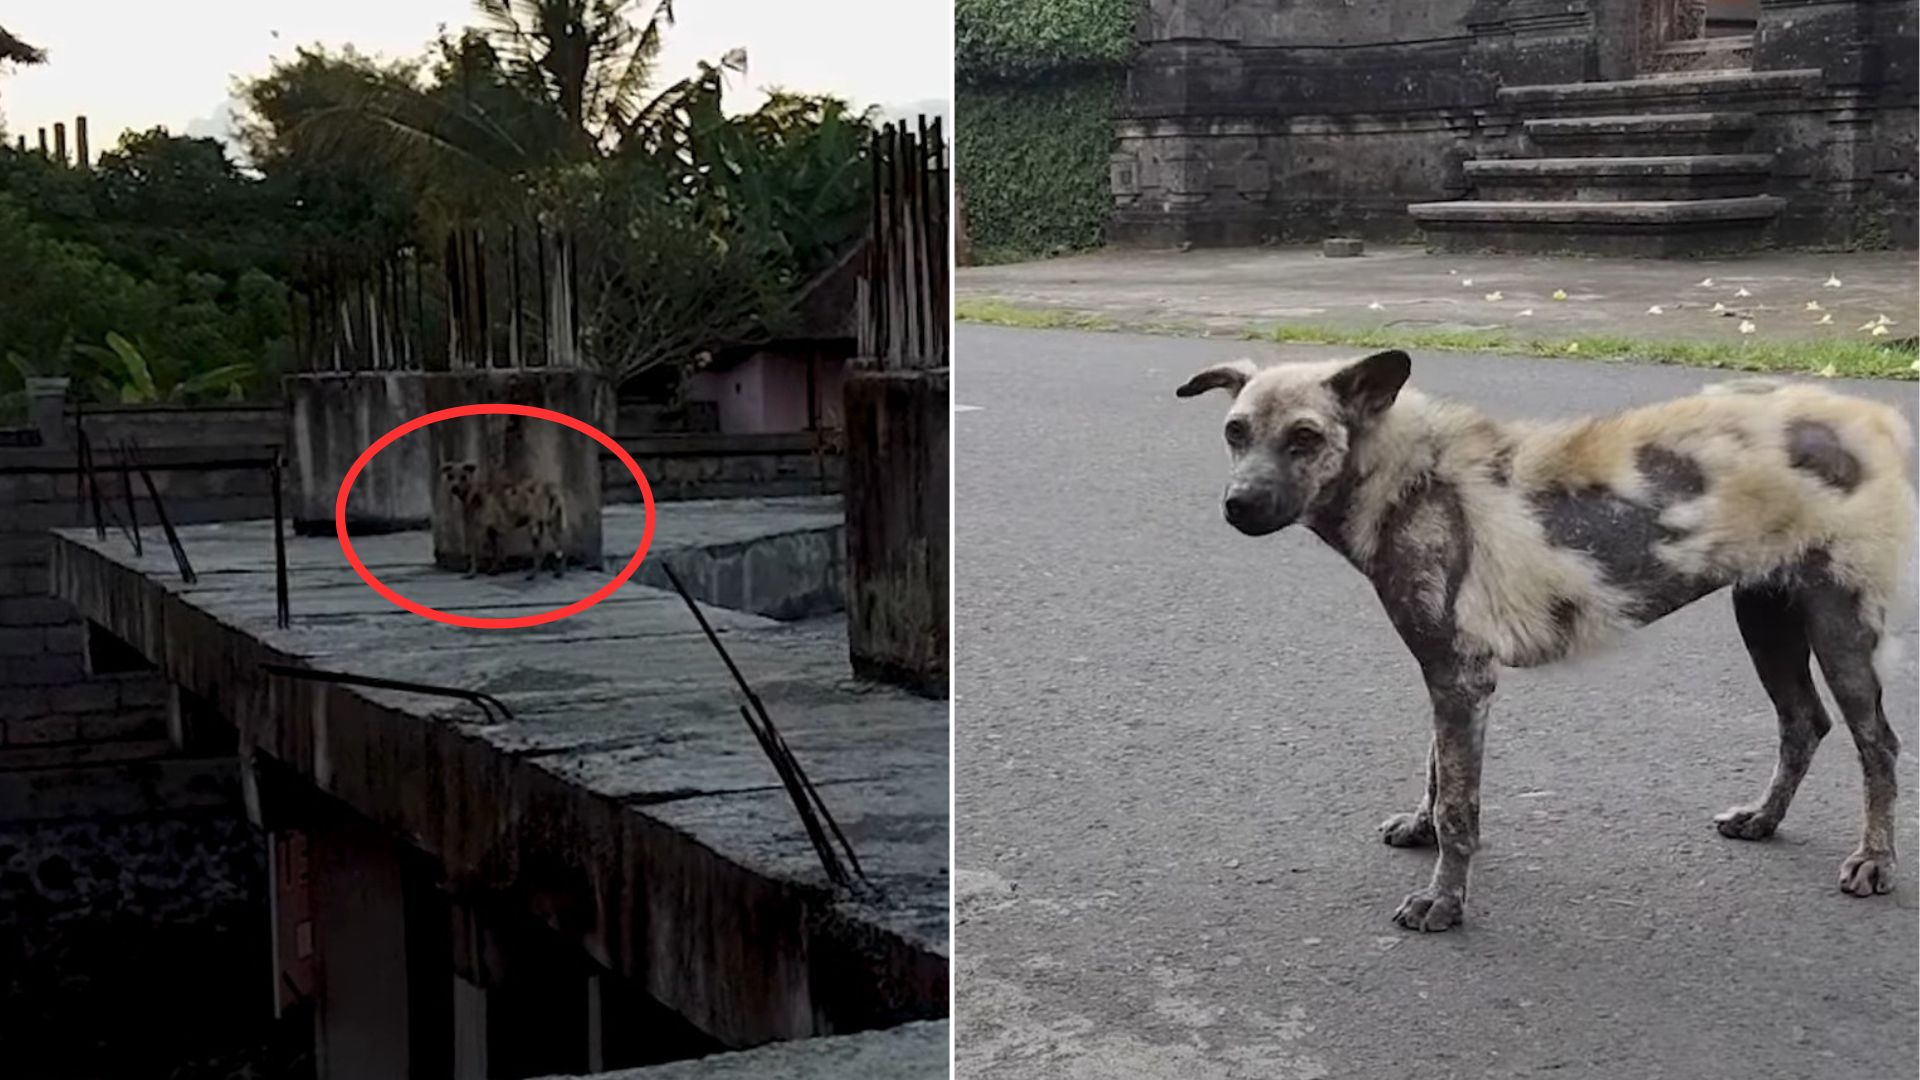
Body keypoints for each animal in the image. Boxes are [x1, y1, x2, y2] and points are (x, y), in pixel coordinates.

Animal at [1175, 351, 1912, 926]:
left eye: (1304, 437)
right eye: (1236, 432)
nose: (1238, 506)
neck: (1414, 481)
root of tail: (1870, 420)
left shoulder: (1460, 678)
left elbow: (1460, 810)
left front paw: (1444, 902)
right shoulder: (1448, 678)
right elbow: (1436, 773)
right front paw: (1421, 830)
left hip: (1839, 635)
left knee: (1877, 746)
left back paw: (1875, 860)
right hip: (1766, 622)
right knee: (1803, 724)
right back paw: (1764, 818)